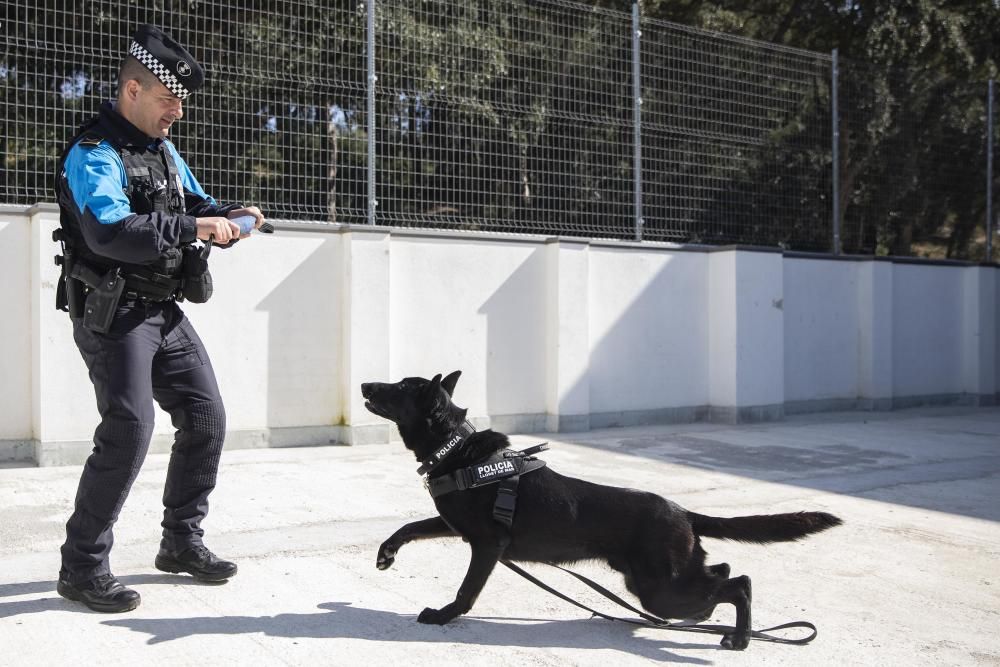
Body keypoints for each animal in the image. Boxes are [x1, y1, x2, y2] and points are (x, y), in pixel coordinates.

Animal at [364, 374, 840, 648]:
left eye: (399, 388)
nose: (366, 386)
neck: (456, 449)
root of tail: (683, 512)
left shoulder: (486, 545)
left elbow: (466, 591)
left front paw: (443, 616)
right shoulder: (454, 525)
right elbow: (410, 525)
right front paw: (387, 553)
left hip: (659, 589)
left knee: (739, 582)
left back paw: (739, 638)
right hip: (661, 583)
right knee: (721, 573)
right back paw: (710, 620)